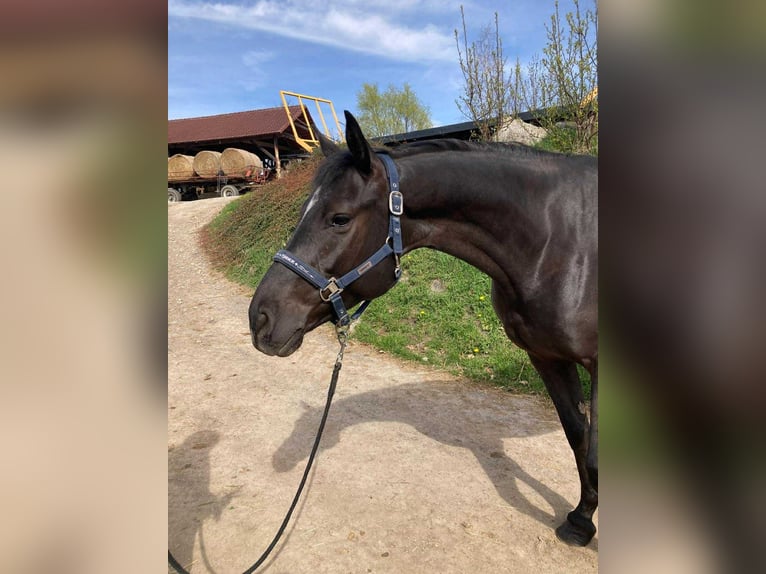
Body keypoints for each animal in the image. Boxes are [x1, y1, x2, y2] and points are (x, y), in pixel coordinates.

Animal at [249, 110, 598, 546]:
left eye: (339, 218)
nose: (260, 318)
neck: (557, 238)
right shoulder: (547, 357)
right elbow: (578, 436)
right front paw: (581, 520)